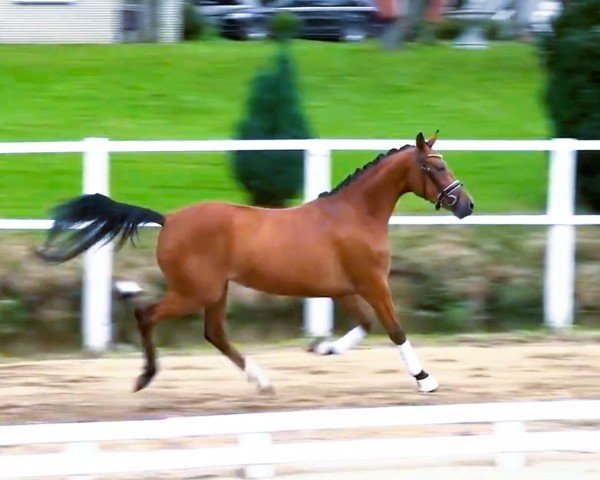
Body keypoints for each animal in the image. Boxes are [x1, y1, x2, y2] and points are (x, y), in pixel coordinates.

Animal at [36, 133, 474, 396]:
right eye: (436, 167)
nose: (466, 205)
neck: (355, 214)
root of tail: (169, 219)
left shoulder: (342, 289)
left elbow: (365, 325)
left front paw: (324, 348)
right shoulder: (372, 283)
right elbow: (395, 329)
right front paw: (426, 380)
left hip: (216, 291)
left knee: (215, 334)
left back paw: (261, 380)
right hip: (197, 291)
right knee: (147, 315)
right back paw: (146, 377)